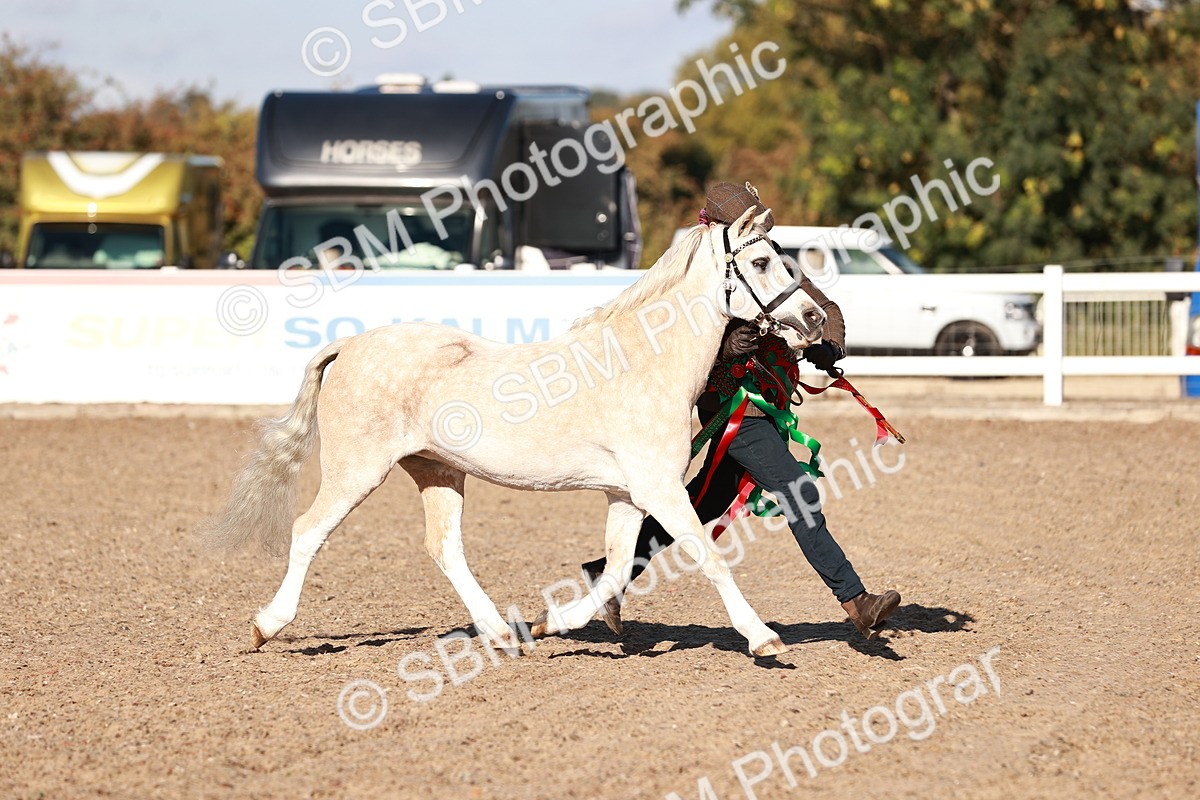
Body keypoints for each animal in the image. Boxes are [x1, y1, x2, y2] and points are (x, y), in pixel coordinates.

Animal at [203, 205, 828, 657]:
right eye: (763, 262)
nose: (816, 319)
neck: (643, 362)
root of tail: (351, 344)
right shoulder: (659, 490)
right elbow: (707, 557)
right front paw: (764, 639)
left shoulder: (628, 494)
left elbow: (616, 570)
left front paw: (556, 624)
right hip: (358, 469)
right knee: (309, 530)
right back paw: (266, 626)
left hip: (437, 470)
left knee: (444, 547)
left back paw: (504, 635)